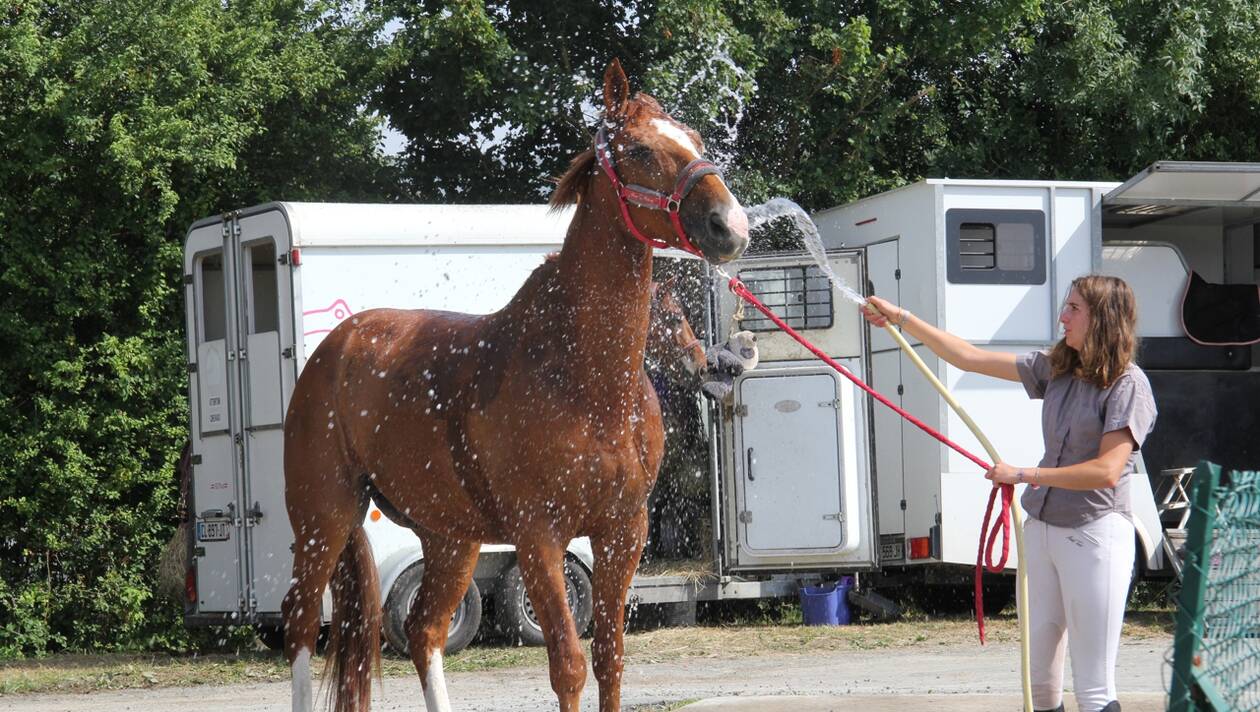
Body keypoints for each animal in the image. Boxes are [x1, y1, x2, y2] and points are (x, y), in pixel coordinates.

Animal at [280, 59, 740, 710]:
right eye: (641, 150)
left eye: (696, 140)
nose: (730, 224)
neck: (588, 383)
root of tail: (336, 347)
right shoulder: (539, 538)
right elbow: (569, 665)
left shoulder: (622, 532)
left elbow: (611, 659)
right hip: (324, 516)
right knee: (300, 625)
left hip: (450, 537)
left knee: (424, 629)